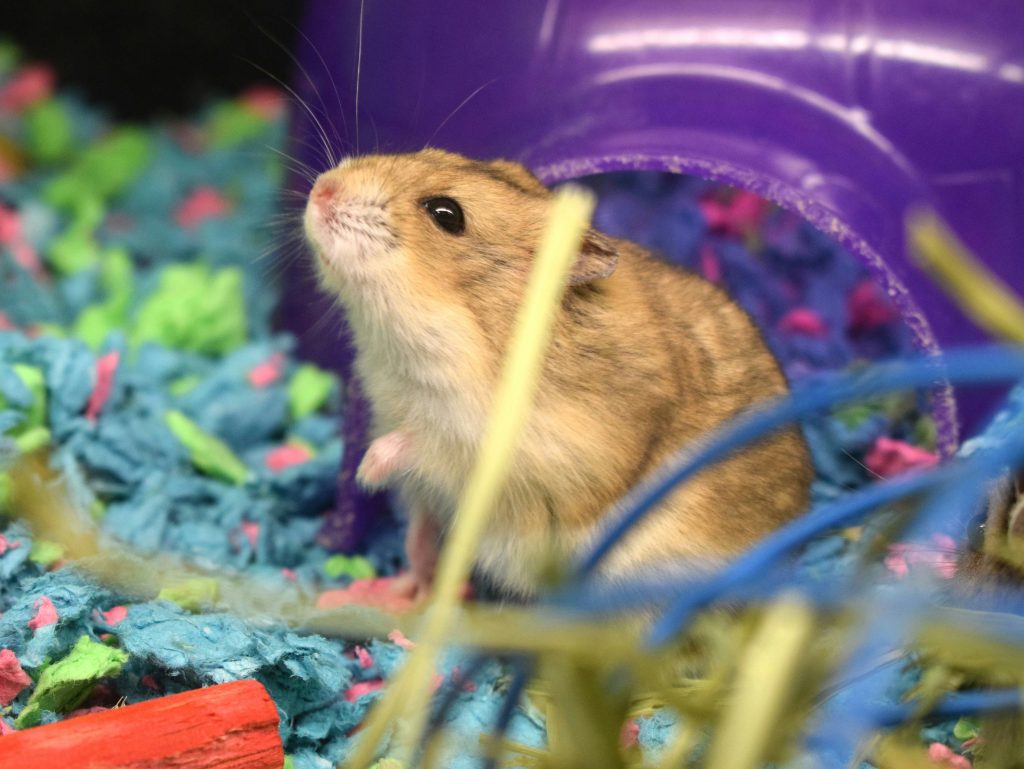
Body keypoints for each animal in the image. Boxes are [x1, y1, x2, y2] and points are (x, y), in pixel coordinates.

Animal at [299, 147, 811, 597]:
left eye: (447, 214)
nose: (321, 189)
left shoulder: (524, 453)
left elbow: (425, 444)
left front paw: (367, 469)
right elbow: (420, 533)